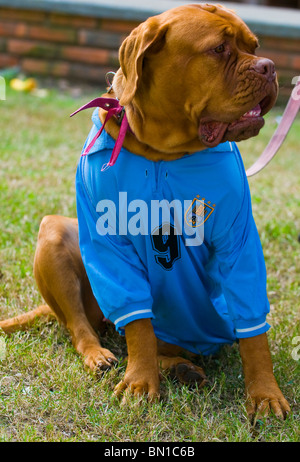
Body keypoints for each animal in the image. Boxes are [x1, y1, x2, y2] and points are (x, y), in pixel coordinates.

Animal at [0, 3, 290, 420]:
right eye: (219, 49)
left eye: (254, 46)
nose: (269, 67)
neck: (162, 150)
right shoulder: (108, 246)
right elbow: (138, 326)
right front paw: (140, 382)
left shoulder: (238, 242)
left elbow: (255, 335)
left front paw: (265, 393)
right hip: (55, 236)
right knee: (84, 327)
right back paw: (103, 356)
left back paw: (182, 367)